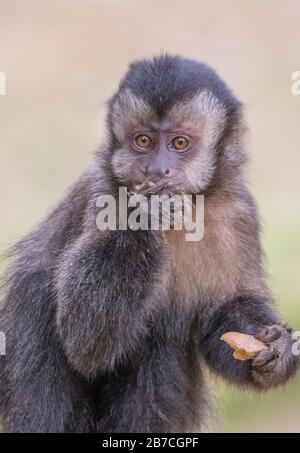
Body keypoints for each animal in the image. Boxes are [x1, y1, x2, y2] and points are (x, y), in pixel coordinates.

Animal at [0, 54, 298, 432]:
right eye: (143, 141)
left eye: (179, 143)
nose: (156, 171)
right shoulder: (100, 193)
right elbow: (85, 340)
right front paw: (143, 214)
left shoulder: (240, 212)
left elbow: (225, 319)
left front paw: (277, 354)